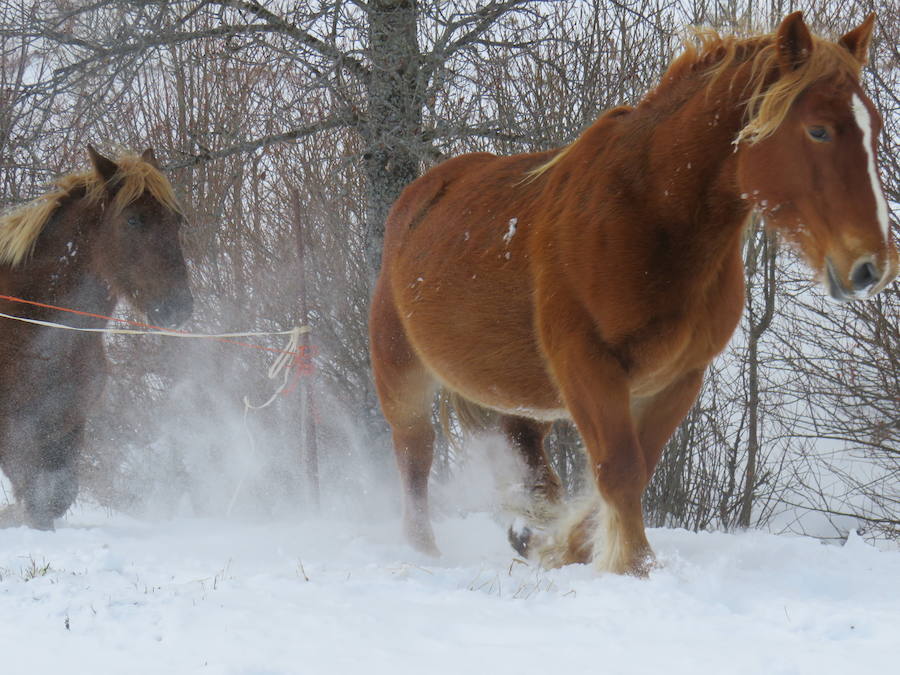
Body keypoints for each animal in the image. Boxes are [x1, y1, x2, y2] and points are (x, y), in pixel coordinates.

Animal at [0, 147, 193, 528]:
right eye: (132, 220)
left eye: (177, 220)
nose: (178, 306)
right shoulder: (14, 430)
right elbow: (37, 498)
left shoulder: (67, 424)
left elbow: (56, 495)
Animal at [370, 11, 896, 576]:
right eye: (817, 129)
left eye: (875, 127)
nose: (872, 266)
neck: (648, 215)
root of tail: (416, 198)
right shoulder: (588, 364)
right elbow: (619, 467)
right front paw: (633, 567)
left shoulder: (678, 377)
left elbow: (637, 467)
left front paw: (566, 546)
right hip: (403, 375)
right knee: (415, 454)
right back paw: (424, 553)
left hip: (522, 396)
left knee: (526, 454)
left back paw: (528, 531)